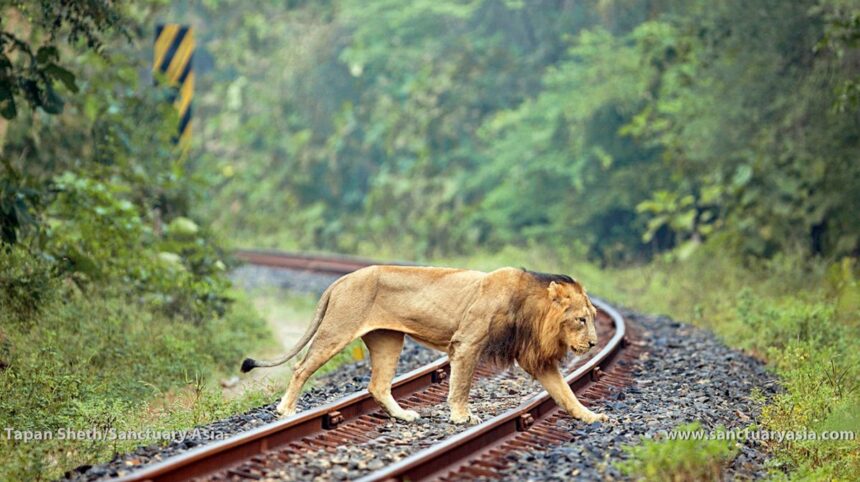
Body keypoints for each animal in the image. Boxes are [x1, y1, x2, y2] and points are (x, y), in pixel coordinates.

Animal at [241, 266, 607, 425]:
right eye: (580, 319)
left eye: (592, 318)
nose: (593, 343)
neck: (531, 310)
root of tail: (342, 278)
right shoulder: (467, 343)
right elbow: (461, 385)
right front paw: (461, 418)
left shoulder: (537, 359)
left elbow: (565, 392)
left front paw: (591, 417)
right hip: (336, 331)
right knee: (301, 367)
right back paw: (285, 410)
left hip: (388, 339)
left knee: (378, 385)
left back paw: (404, 415)